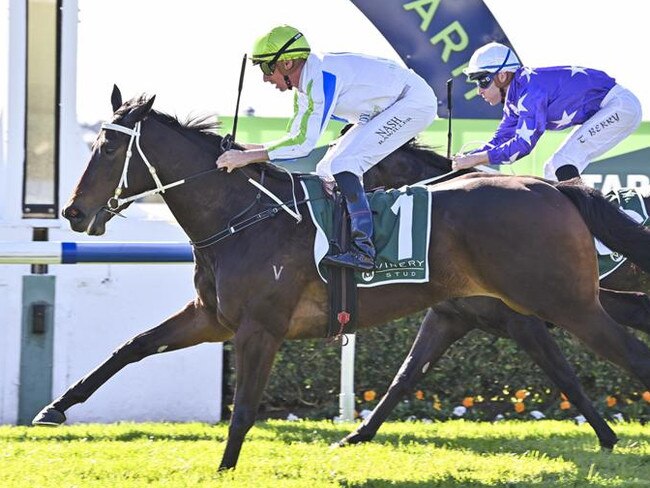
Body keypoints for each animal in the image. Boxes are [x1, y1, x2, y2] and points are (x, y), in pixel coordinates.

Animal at [36, 89, 650, 470]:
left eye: (110, 147)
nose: (73, 212)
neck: (242, 217)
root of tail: (553, 189)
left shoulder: (261, 327)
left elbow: (244, 410)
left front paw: (225, 469)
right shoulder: (213, 317)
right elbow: (132, 346)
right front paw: (55, 407)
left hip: (568, 303)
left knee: (634, 355)